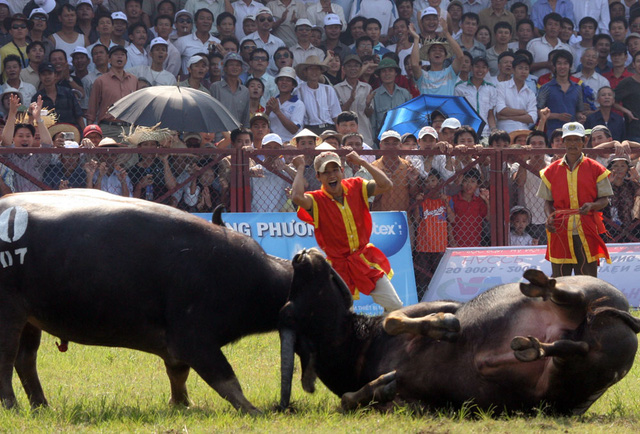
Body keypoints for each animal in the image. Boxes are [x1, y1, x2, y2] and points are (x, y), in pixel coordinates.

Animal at [0, 190, 304, 414]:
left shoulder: (176, 348)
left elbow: (178, 373)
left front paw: (182, 404)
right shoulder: (194, 339)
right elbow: (225, 378)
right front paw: (253, 410)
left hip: (30, 319)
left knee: (26, 360)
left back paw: (42, 406)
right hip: (9, 313)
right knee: (6, 358)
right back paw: (12, 406)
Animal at [278, 248, 640, 414]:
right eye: (289, 308)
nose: (299, 255)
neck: (361, 350)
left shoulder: (434, 305)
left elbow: (394, 319)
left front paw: (443, 326)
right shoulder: (414, 403)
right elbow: (349, 400)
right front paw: (380, 386)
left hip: (588, 290)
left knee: (567, 297)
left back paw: (540, 286)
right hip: (559, 383)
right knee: (565, 348)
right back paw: (533, 344)